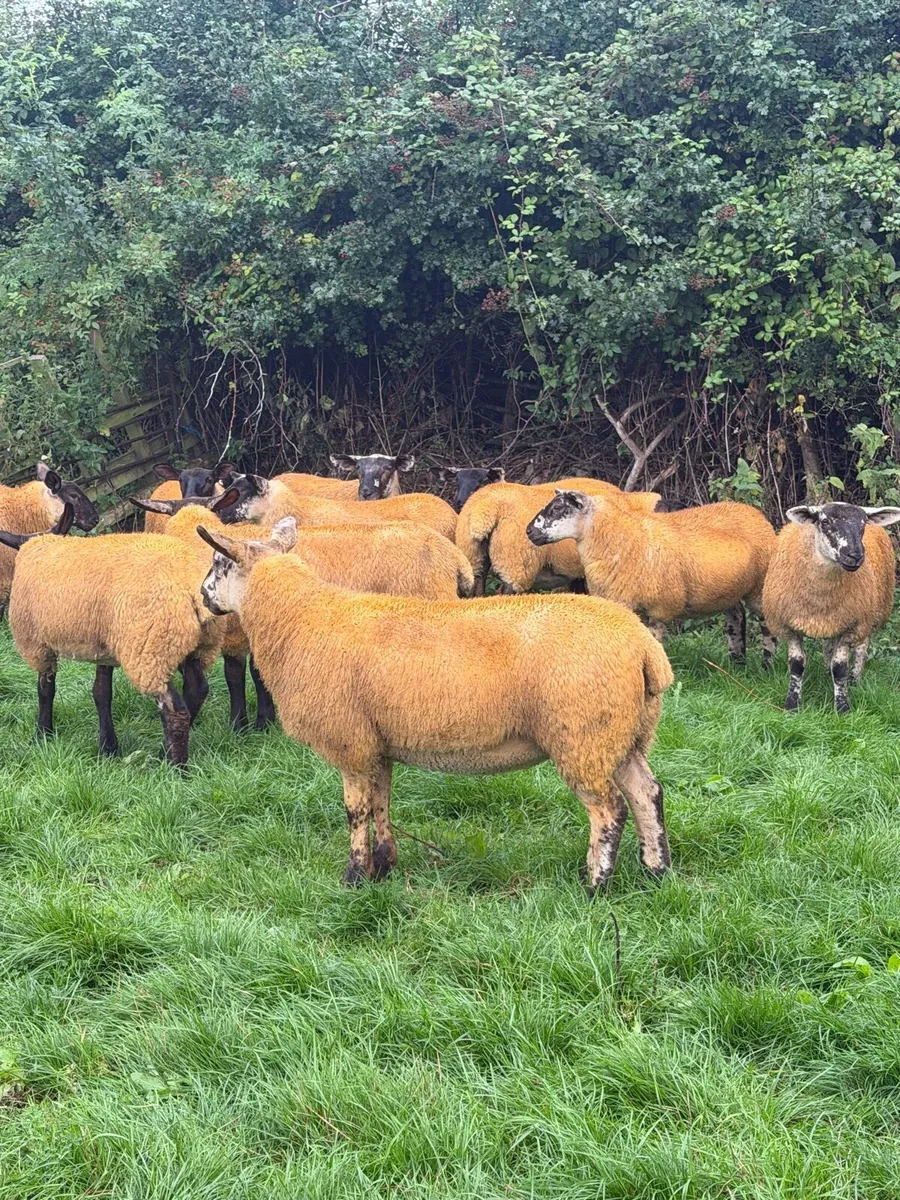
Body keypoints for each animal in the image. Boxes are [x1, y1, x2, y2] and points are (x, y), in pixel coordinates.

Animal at [0, 522, 222, 764]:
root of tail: (189, 583)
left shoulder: (37, 645)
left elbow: (45, 690)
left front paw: (42, 734)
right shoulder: (104, 648)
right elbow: (101, 693)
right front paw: (108, 748)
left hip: (150, 650)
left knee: (175, 710)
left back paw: (174, 765)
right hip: (190, 646)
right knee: (197, 690)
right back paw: (164, 750)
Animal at [131, 493, 475, 730]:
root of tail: (454, 557)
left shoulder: (234, 633)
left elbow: (234, 677)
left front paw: (240, 726)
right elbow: (258, 674)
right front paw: (265, 721)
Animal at [196, 517, 674, 892]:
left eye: (219, 564)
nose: (201, 596)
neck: (298, 619)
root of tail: (644, 649)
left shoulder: (351, 742)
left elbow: (355, 810)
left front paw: (354, 877)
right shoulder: (378, 743)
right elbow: (382, 801)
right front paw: (384, 866)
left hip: (583, 735)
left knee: (608, 810)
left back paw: (596, 884)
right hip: (623, 734)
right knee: (646, 794)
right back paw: (655, 872)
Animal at [527, 490, 777, 665]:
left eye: (558, 507)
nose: (528, 531)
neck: (619, 539)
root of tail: (754, 513)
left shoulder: (659, 608)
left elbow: (653, 642)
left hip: (759, 587)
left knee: (766, 624)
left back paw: (767, 665)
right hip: (728, 590)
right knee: (737, 615)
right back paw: (737, 662)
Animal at [761, 502, 900, 712]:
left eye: (863, 523)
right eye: (825, 521)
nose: (855, 555)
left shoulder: (852, 626)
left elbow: (840, 667)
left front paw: (842, 708)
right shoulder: (788, 626)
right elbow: (796, 665)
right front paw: (792, 705)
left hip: (869, 614)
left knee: (862, 647)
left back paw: (854, 679)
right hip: (835, 619)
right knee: (828, 646)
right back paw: (828, 673)